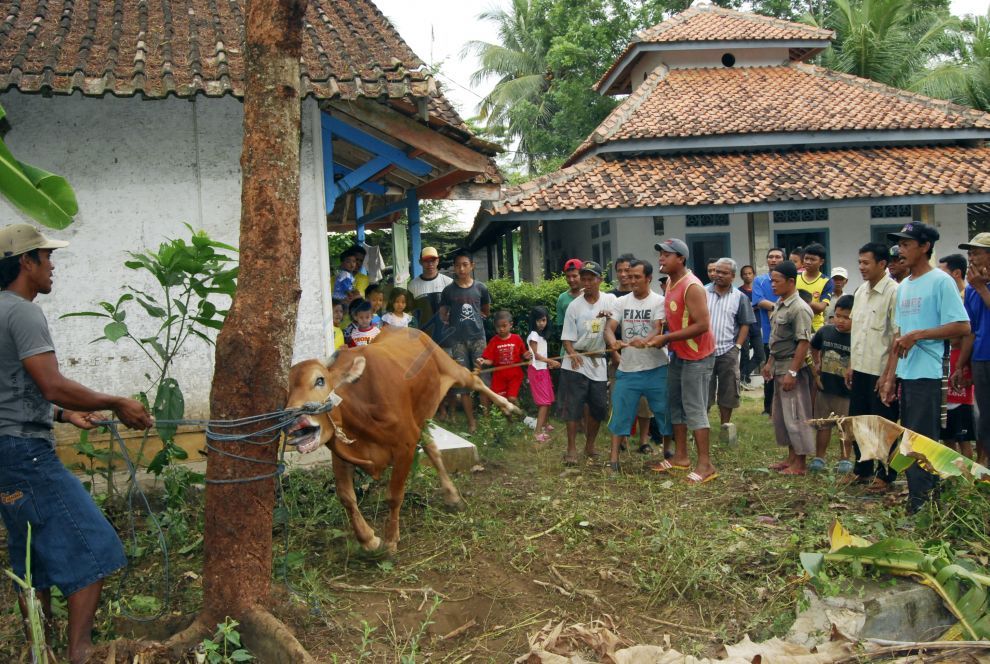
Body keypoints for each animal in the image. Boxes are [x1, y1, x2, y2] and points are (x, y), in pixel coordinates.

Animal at [284, 324, 524, 552]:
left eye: (320, 380)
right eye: (285, 391)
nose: (292, 420)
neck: (361, 411)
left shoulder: (405, 446)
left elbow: (394, 494)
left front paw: (391, 540)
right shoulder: (342, 455)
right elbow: (346, 497)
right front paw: (368, 539)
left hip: (450, 368)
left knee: (474, 379)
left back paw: (511, 408)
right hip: (420, 416)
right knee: (432, 449)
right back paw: (451, 495)